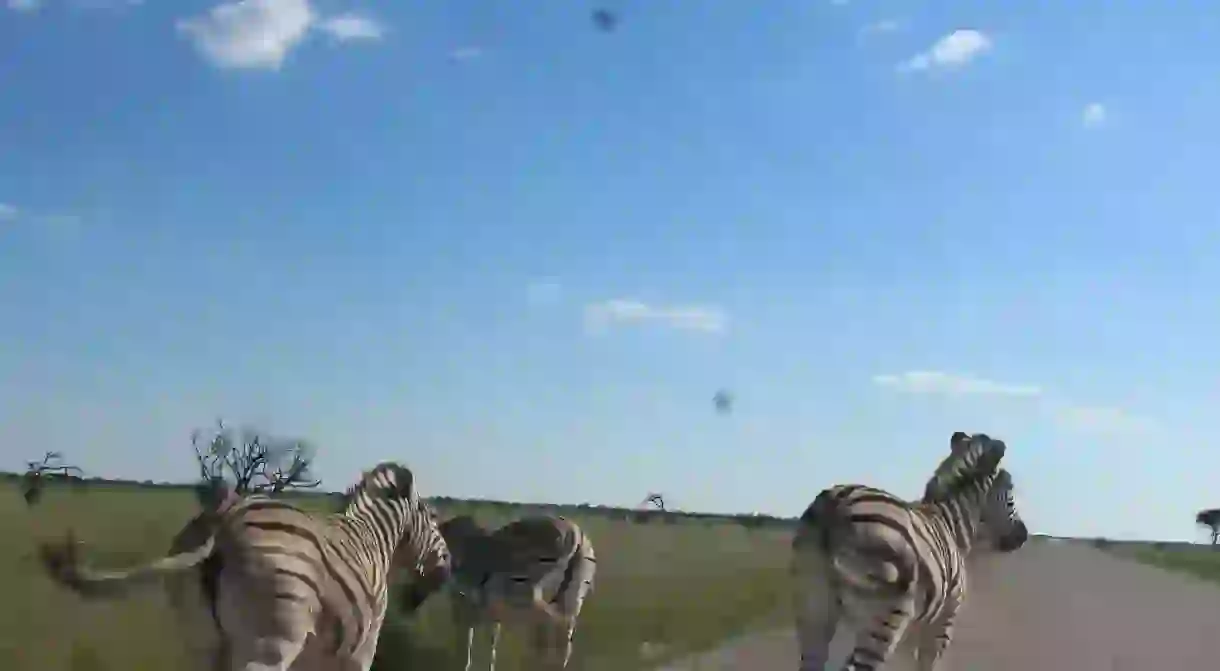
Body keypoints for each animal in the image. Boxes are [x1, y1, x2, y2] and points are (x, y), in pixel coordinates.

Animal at [43, 463, 456, 671]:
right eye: (434, 517)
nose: (447, 566)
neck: (374, 538)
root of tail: (223, 517)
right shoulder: (361, 647)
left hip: (203, 645)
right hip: (268, 647)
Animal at [439, 517, 595, 668]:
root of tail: (575, 530)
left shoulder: (466, 605)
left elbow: (465, 644)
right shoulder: (487, 609)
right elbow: (490, 646)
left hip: (527, 600)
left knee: (554, 624)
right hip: (569, 599)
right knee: (561, 629)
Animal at [790, 434, 1029, 668]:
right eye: (1010, 491)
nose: (1023, 536)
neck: (952, 525)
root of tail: (835, 503)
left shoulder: (914, 631)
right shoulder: (942, 625)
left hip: (815, 613)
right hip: (885, 619)